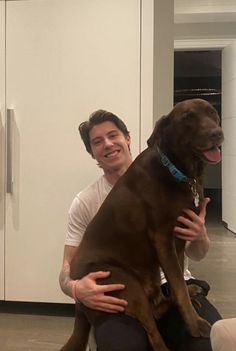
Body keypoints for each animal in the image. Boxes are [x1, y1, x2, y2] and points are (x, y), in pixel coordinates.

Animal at [60, 99, 224, 351]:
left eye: (213, 113)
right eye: (187, 117)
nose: (217, 133)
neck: (176, 171)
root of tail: (79, 301)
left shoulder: (179, 238)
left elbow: (178, 282)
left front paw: (188, 295)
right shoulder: (162, 238)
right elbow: (177, 286)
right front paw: (195, 324)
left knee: (156, 309)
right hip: (124, 284)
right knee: (153, 333)